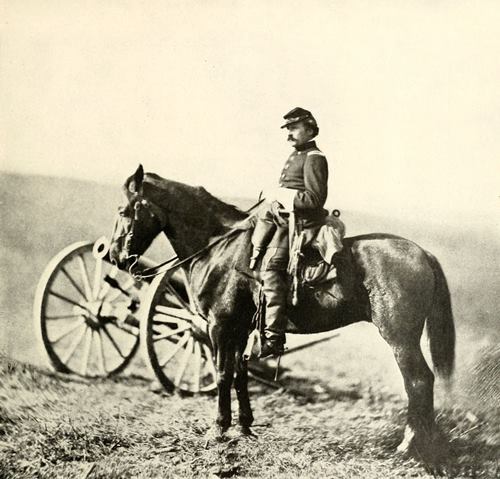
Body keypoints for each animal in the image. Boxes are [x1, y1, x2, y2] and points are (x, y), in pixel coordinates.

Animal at [109, 165, 455, 455]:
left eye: (124, 210)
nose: (115, 256)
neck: (219, 248)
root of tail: (423, 253)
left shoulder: (219, 327)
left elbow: (222, 374)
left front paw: (218, 428)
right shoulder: (240, 329)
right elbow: (239, 373)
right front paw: (244, 427)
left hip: (400, 339)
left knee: (419, 381)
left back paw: (410, 445)